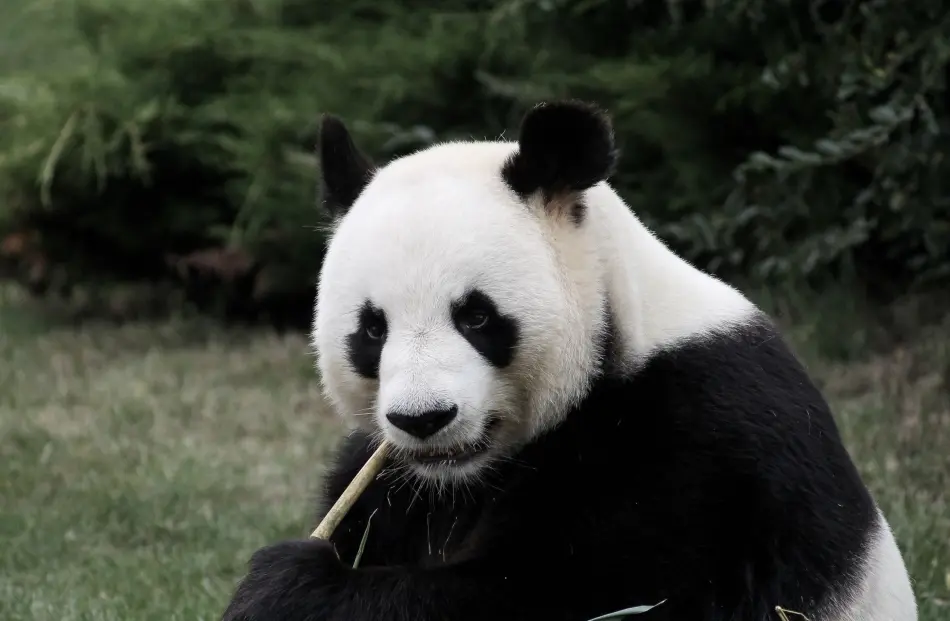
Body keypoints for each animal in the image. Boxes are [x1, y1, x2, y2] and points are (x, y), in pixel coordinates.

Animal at [220, 100, 918, 621]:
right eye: (371, 329)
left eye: (476, 317)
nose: (424, 419)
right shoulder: (392, 481)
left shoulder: (693, 449)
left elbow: (563, 593)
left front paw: (287, 587)